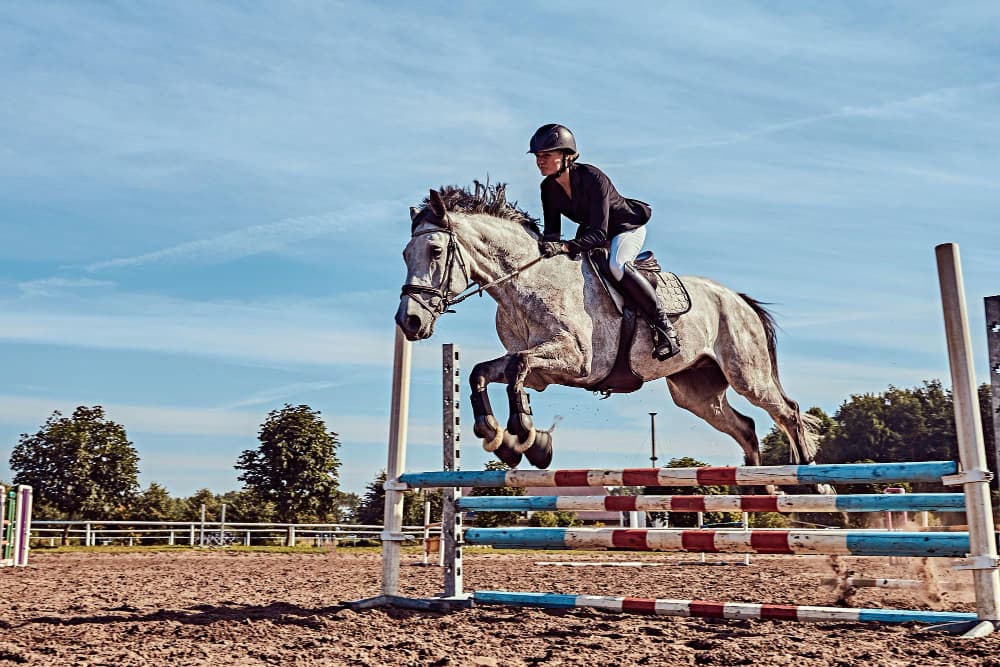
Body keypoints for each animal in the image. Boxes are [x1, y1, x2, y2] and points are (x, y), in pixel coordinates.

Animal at [395, 183, 822, 473]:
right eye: (404, 254)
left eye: (435, 251)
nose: (408, 321)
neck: (526, 283)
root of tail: (738, 300)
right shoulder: (541, 371)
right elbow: (484, 372)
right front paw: (499, 436)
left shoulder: (578, 361)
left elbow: (517, 367)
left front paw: (527, 435)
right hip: (696, 392)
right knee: (745, 427)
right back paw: (761, 488)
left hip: (748, 374)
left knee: (788, 412)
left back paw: (810, 485)